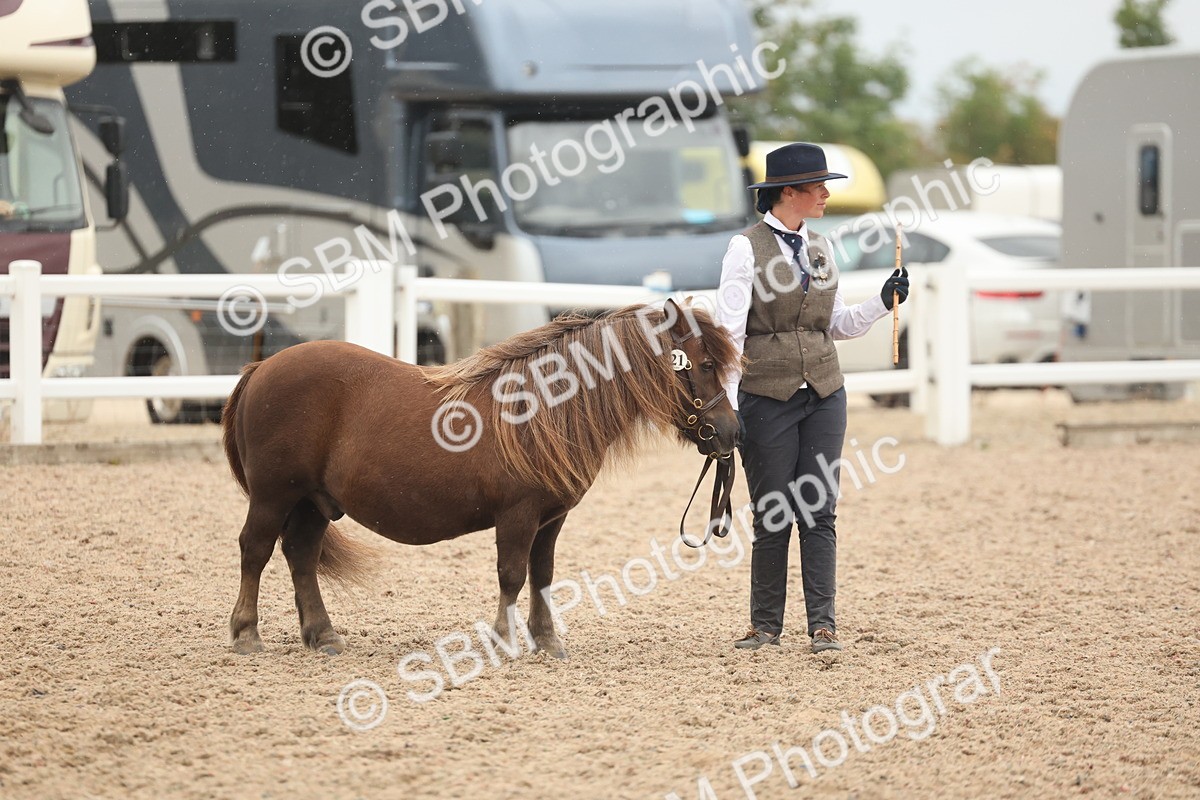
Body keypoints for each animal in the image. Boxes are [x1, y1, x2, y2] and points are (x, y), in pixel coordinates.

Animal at [221, 298, 741, 658]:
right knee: (255, 550)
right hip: (273, 496)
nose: (732, 432)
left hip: (312, 502)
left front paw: (546, 640)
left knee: (301, 555)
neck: (542, 409)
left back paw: (322, 634)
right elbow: (511, 574)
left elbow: (542, 574)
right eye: (706, 365)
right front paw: (503, 640)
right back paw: (246, 633)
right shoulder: (518, 515)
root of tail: (261, 367)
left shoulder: (551, 519)